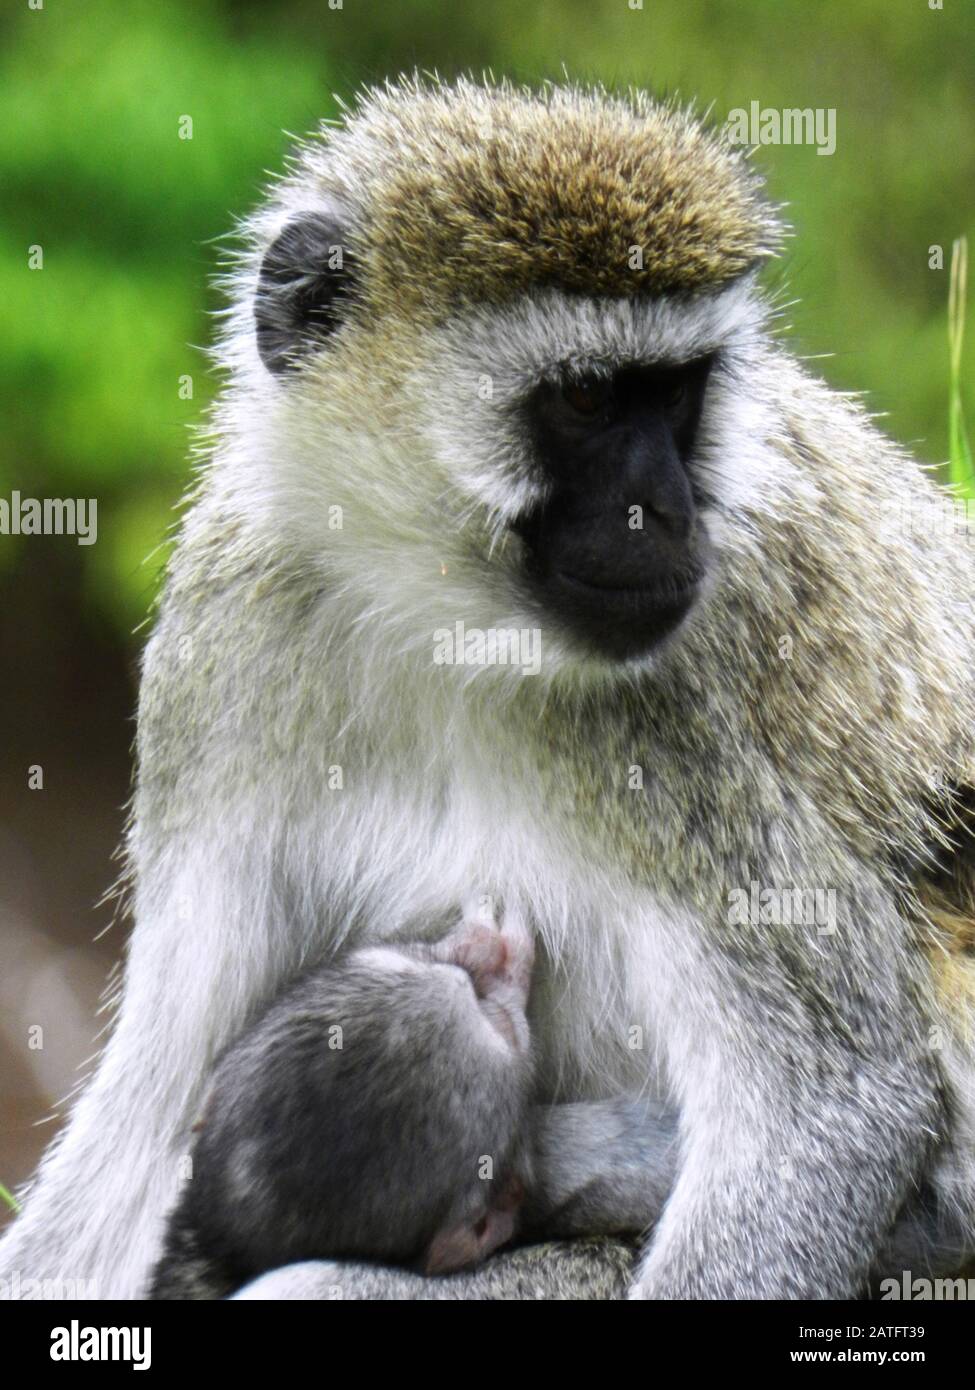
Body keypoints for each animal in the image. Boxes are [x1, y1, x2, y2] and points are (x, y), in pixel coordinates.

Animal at [3, 74, 975, 1301]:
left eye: (679, 394)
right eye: (587, 401)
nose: (669, 513)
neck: (439, 619)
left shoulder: (671, 727)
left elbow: (833, 1104)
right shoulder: (226, 625)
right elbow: (144, 1119)